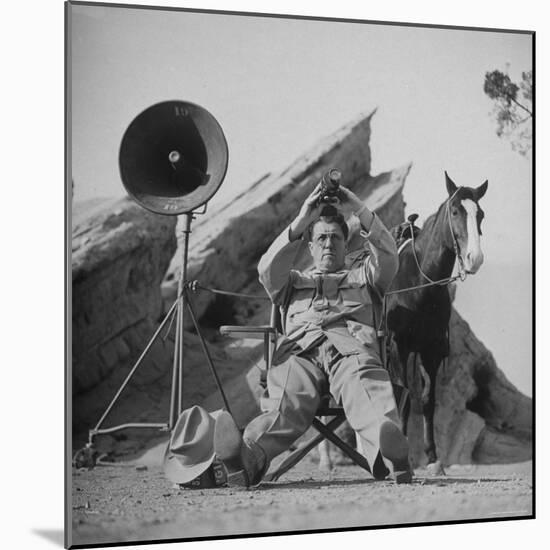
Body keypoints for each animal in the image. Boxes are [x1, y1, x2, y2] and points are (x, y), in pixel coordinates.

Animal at [386, 172, 490, 474]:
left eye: (480, 214)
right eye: (455, 211)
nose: (474, 259)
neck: (419, 283)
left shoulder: (430, 351)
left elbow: (427, 401)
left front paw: (432, 458)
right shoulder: (399, 346)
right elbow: (401, 396)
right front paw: (401, 458)